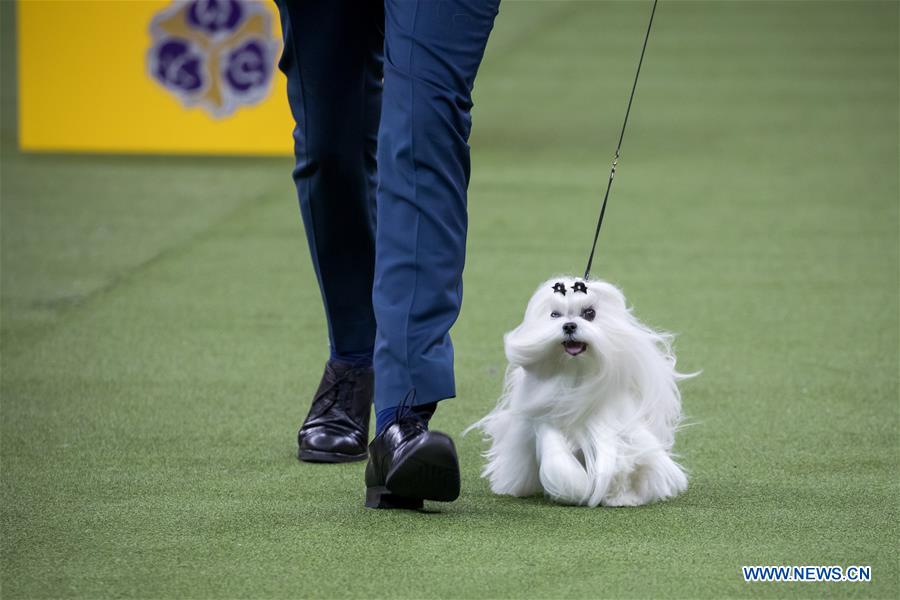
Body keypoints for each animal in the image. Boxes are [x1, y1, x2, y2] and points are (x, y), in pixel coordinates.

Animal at [468, 276, 692, 506]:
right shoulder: (546, 418)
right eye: (555, 315)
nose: (569, 325)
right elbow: (557, 456)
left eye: (589, 313)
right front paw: (574, 487)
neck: (576, 373)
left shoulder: (613, 425)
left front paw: (620, 496)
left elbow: (621, 461)